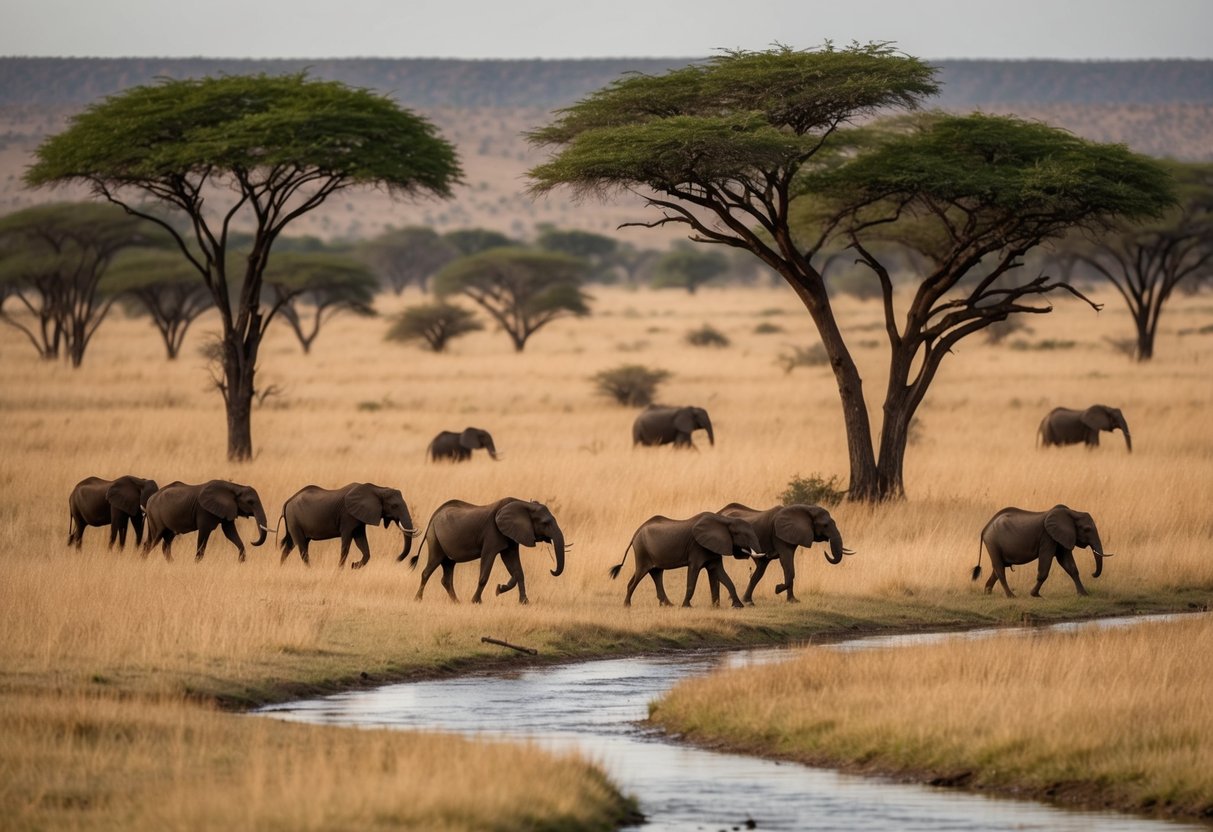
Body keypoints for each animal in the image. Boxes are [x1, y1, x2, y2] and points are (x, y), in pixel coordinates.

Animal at [278, 485, 417, 570]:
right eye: (394, 506)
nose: (396, 559)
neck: (378, 489)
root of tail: (288, 500)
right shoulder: (348, 516)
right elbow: (346, 545)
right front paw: (340, 570)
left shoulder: (360, 518)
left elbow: (362, 544)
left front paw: (354, 566)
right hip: (294, 520)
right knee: (302, 547)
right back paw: (310, 570)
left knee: (290, 546)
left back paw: (281, 567)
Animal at [409, 494, 565, 606]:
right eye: (545, 523)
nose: (551, 570)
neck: (524, 504)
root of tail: (434, 515)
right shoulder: (493, 533)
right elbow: (487, 567)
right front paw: (477, 601)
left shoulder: (511, 536)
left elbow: (516, 567)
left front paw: (523, 602)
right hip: (434, 538)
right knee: (430, 567)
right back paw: (418, 600)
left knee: (448, 568)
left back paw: (456, 602)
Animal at [606, 511, 756, 608]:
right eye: (739, 534)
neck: (723, 520)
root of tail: (636, 532)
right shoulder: (697, 547)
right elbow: (694, 571)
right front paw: (686, 606)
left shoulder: (713, 548)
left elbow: (719, 574)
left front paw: (733, 606)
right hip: (642, 551)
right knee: (641, 574)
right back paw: (627, 605)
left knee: (656, 573)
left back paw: (668, 605)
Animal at [718, 504, 853, 603]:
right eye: (825, 525)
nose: (826, 551)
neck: (806, 509)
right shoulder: (779, 536)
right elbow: (787, 564)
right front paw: (778, 589)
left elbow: (789, 566)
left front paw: (793, 601)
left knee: (760, 568)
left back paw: (746, 601)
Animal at [970, 502, 1111, 599]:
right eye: (1087, 529)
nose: (1093, 574)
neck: (1072, 512)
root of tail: (985, 528)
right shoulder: (1047, 537)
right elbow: (1045, 565)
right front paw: (1035, 595)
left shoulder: (1061, 537)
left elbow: (1069, 565)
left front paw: (1084, 595)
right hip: (993, 543)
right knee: (1000, 569)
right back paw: (1011, 596)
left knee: (997, 569)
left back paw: (987, 593)